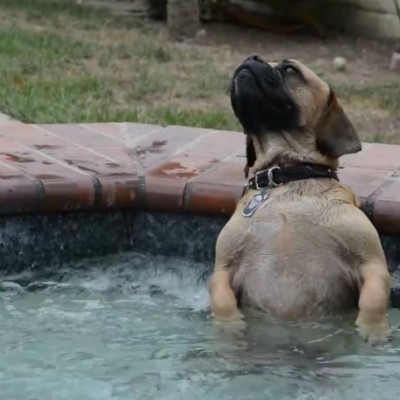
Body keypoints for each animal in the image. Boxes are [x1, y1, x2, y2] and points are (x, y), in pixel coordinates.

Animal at [209, 56, 391, 344]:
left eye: (289, 69)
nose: (251, 58)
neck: (287, 176)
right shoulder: (223, 269)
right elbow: (222, 301)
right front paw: (229, 326)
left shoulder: (371, 264)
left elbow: (373, 301)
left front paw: (373, 329)